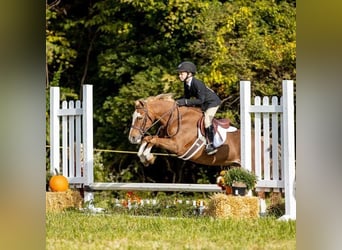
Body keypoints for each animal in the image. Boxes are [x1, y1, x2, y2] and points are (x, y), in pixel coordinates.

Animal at [130, 94, 260, 170]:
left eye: (139, 118)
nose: (132, 138)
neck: (175, 118)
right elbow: (149, 139)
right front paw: (146, 158)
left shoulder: (177, 146)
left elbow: (153, 139)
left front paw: (148, 157)